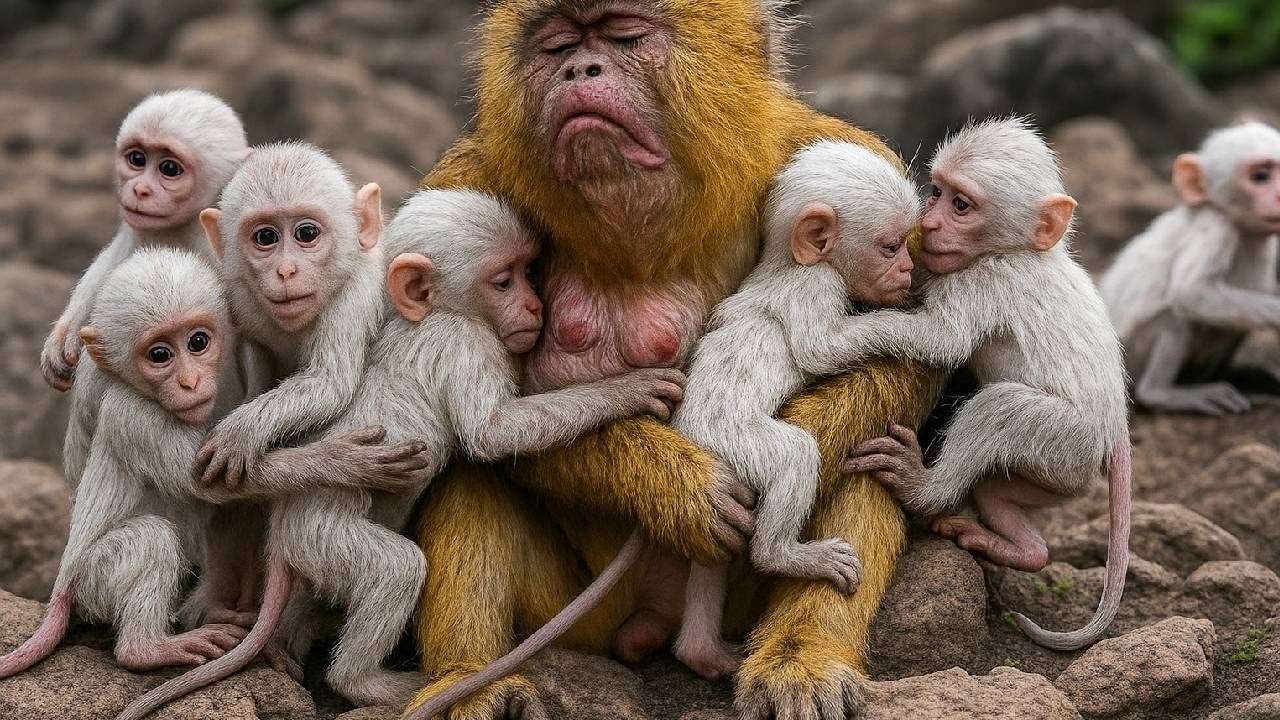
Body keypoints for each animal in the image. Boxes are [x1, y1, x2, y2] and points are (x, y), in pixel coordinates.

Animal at [117, 188, 686, 719]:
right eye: (504, 282)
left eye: (530, 272)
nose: (534, 308)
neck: (441, 312)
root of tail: (280, 528)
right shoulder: (466, 342)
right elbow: (495, 435)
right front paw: (628, 390)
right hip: (318, 533)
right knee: (396, 568)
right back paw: (370, 682)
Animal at [669, 140, 921, 680]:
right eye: (891, 247)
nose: (909, 270)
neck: (787, 263)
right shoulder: (818, 284)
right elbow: (819, 351)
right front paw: (911, 325)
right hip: (734, 442)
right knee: (794, 456)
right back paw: (786, 556)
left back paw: (700, 650)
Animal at [813, 117, 1133, 651]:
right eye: (936, 193)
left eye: (961, 206)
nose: (930, 225)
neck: (1017, 250)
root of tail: (1115, 432)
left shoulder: (987, 278)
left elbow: (941, 340)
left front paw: (840, 331)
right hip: (1062, 477)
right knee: (997, 489)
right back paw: (1024, 550)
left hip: (1069, 440)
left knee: (1001, 407)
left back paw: (924, 489)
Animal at [1099, 121, 1280, 416]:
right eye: (1261, 176)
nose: (1279, 196)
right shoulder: (1215, 225)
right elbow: (1189, 293)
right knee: (1175, 318)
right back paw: (1162, 393)